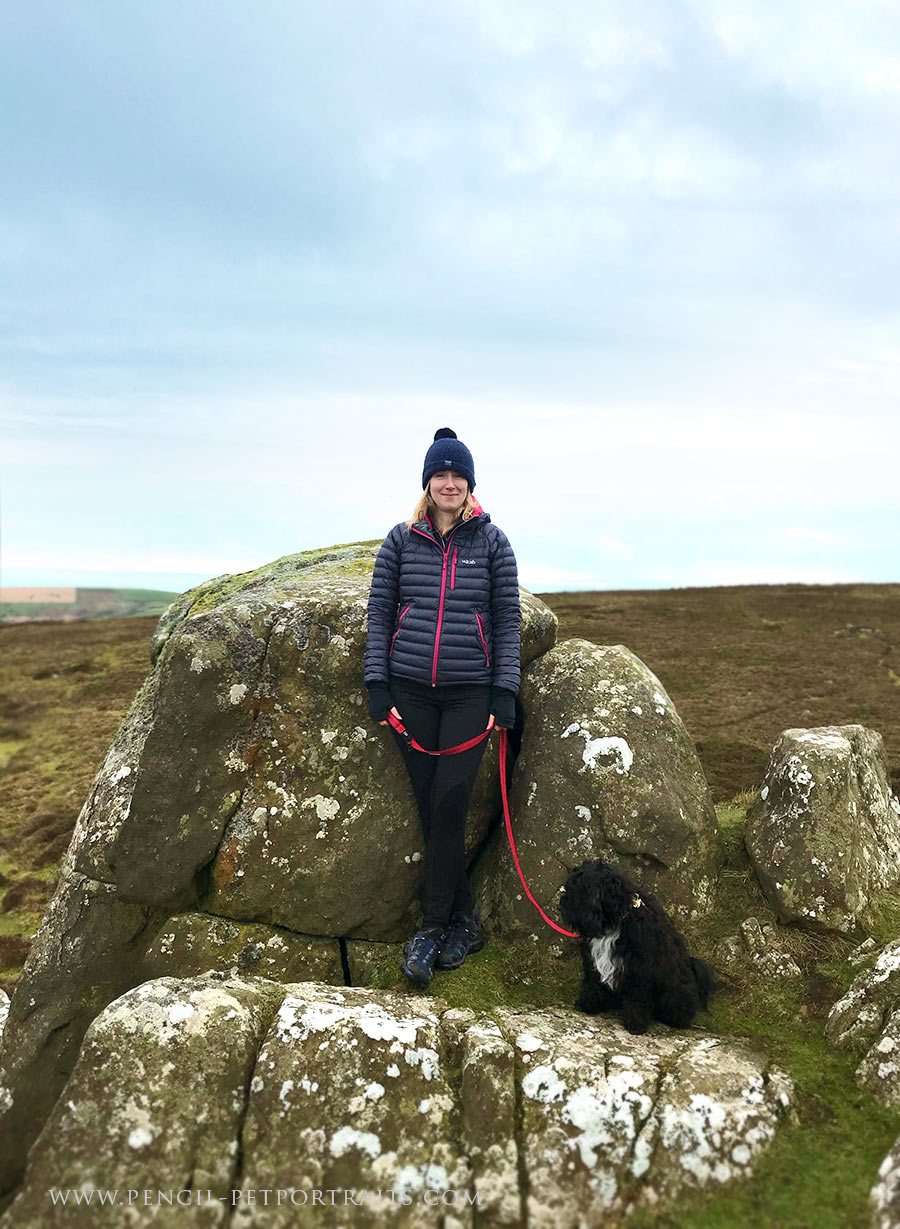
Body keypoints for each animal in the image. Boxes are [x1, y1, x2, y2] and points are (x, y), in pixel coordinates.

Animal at [563, 855, 718, 1037]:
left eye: (578, 889)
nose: (561, 904)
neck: (615, 922)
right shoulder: (594, 961)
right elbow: (593, 984)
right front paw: (588, 1003)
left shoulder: (640, 970)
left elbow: (638, 998)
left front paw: (635, 1023)